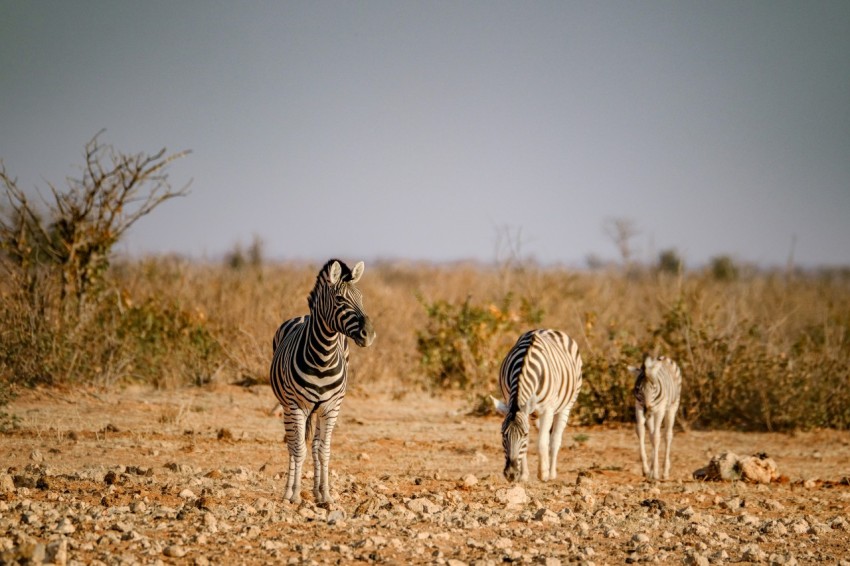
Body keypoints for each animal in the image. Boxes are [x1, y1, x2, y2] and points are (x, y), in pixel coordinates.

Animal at [270, 259, 376, 505]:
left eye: (361, 297)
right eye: (340, 299)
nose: (368, 334)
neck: (323, 357)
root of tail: (302, 316)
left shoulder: (331, 408)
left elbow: (323, 450)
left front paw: (326, 495)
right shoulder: (297, 406)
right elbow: (299, 449)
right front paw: (296, 494)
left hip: (319, 411)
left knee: (316, 444)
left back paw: (317, 491)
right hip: (287, 407)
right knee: (292, 444)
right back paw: (288, 492)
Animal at [491, 329, 582, 483]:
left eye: (525, 434)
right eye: (503, 434)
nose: (510, 474)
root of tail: (550, 330)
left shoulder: (547, 410)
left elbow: (541, 443)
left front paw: (543, 473)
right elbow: (531, 446)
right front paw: (523, 475)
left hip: (566, 405)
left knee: (554, 440)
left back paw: (551, 473)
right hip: (535, 415)